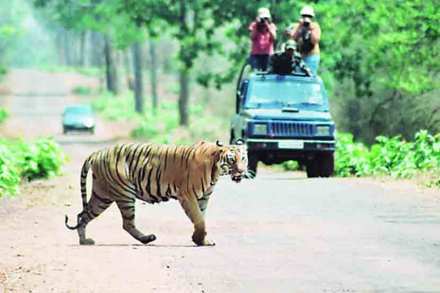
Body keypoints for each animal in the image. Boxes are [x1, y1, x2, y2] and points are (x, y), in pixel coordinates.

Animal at [65, 140, 248, 245]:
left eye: (244, 158)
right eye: (232, 159)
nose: (242, 170)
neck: (216, 171)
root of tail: (97, 152)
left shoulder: (203, 198)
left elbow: (201, 218)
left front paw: (201, 240)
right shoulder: (187, 195)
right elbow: (199, 219)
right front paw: (199, 240)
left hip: (102, 195)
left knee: (83, 215)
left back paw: (84, 240)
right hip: (124, 193)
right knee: (127, 224)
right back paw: (147, 239)